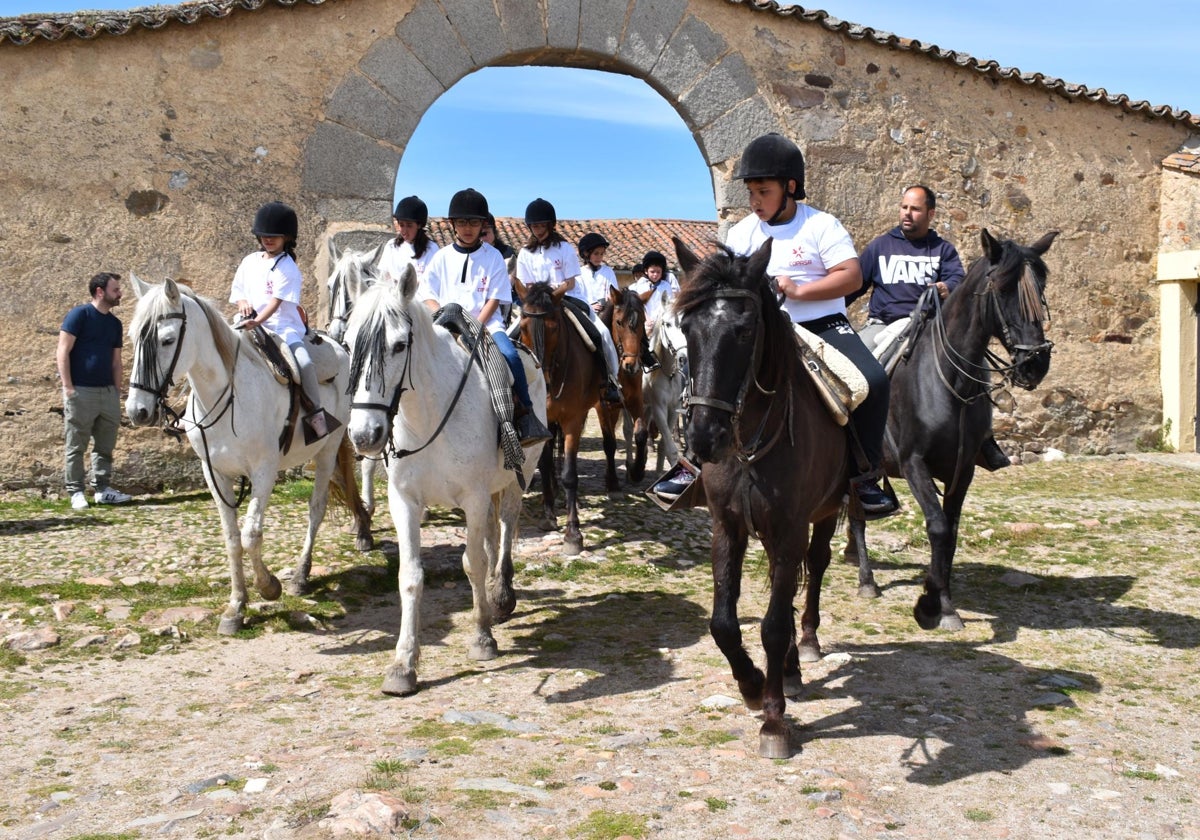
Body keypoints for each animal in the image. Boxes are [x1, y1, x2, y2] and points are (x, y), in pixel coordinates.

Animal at [126, 278, 369, 633]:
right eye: (132, 338)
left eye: (167, 339)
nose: (137, 411)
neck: (228, 397)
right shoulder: (215, 474)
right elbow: (231, 539)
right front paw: (236, 607)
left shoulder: (264, 472)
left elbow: (251, 535)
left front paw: (269, 587)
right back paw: (362, 528)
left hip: (328, 447)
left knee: (317, 509)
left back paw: (301, 575)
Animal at [340, 267, 542, 696]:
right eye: (347, 345)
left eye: (399, 345)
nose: (365, 435)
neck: (428, 415)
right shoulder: (404, 501)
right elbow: (410, 576)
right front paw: (403, 666)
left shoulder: (474, 497)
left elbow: (473, 563)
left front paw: (482, 638)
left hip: (517, 479)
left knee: (505, 529)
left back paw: (501, 597)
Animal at [672, 237, 849, 763]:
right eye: (686, 327)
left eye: (746, 329)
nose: (703, 437)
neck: (748, 445)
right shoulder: (727, 528)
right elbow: (723, 624)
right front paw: (751, 685)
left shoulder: (791, 528)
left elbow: (771, 625)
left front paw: (774, 719)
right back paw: (788, 668)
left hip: (826, 513)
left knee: (815, 568)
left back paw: (802, 648)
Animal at [844, 228, 1060, 628]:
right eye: (1002, 289)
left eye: (1040, 289)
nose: (1035, 363)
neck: (949, 380)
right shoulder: (914, 464)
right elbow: (938, 527)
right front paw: (932, 603)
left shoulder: (963, 471)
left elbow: (952, 532)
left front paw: (945, 604)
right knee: (856, 516)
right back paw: (866, 581)